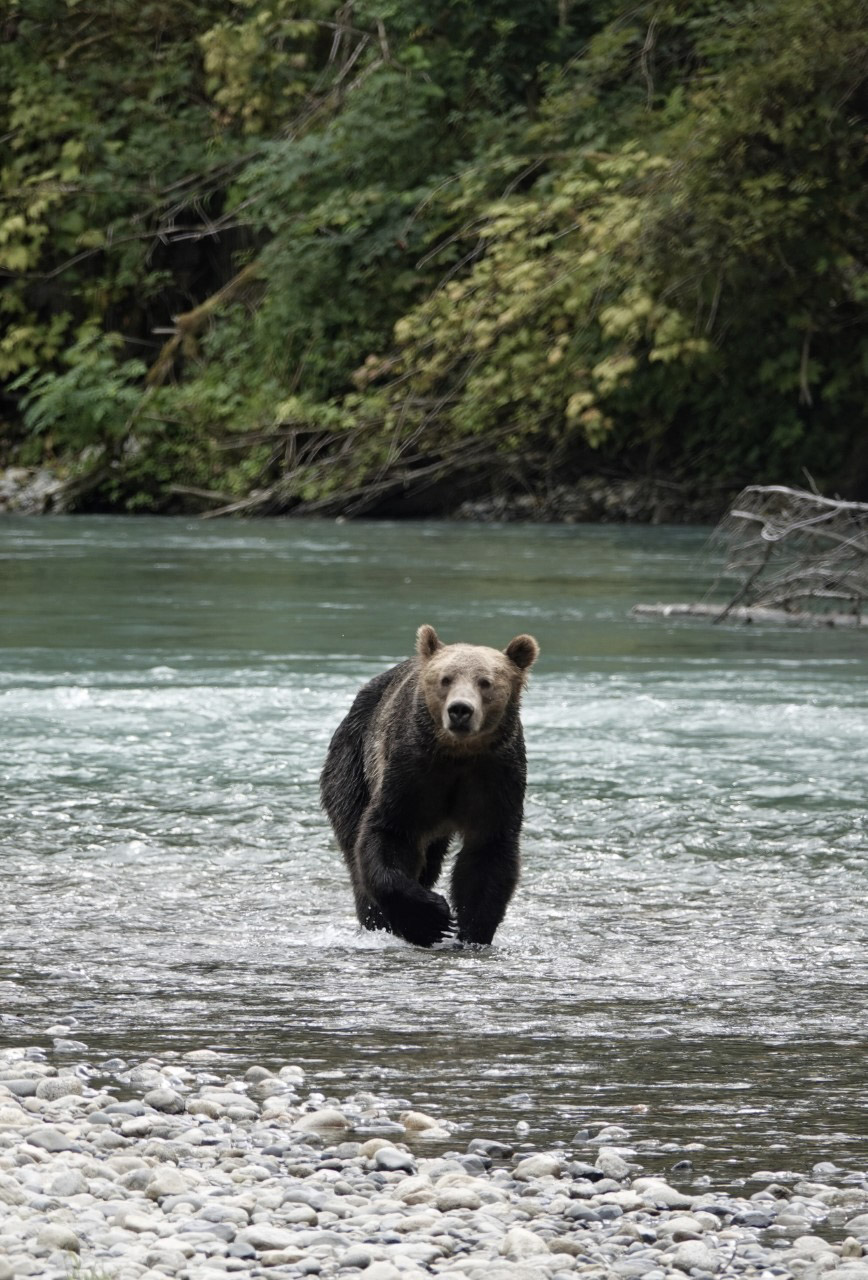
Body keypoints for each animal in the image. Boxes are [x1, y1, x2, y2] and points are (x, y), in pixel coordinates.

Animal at [320, 624, 539, 947]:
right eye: (445, 678)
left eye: (485, 682)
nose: (460, 710)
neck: (457, 755)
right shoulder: (410, 774)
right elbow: (388, 832)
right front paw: (430, 919)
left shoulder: (495, 777)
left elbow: (488, 852)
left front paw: (472, 931)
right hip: (351, 763)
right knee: (354, 843)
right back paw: (376, 922)